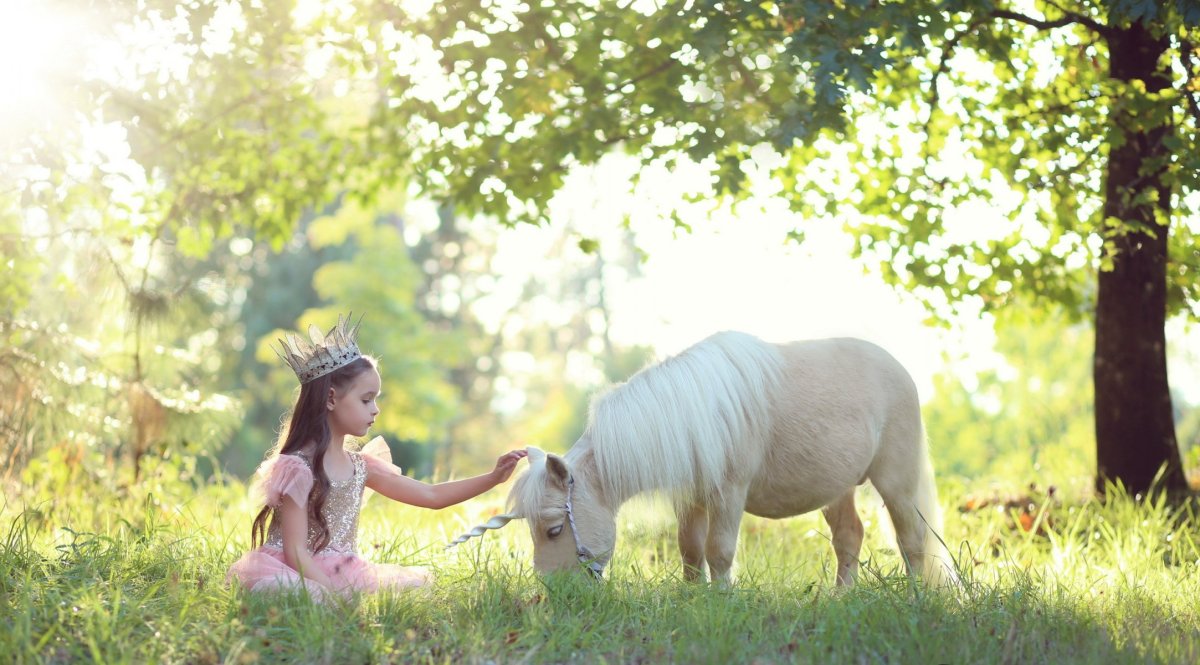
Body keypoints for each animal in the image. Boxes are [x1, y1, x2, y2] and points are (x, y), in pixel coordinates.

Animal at [451, 331, 955, 585]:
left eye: (555, 529)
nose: (556, 594)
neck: (692, 414)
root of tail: (898, 368)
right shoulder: (690, 498)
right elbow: (690, 552)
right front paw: (693, 602)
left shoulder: (728, 495)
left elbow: (720, 552)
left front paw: (722, 601)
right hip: (839, 489)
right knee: (849, 539)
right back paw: (840, 601)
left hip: (896, 483)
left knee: (911, 543)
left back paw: (916, 599)